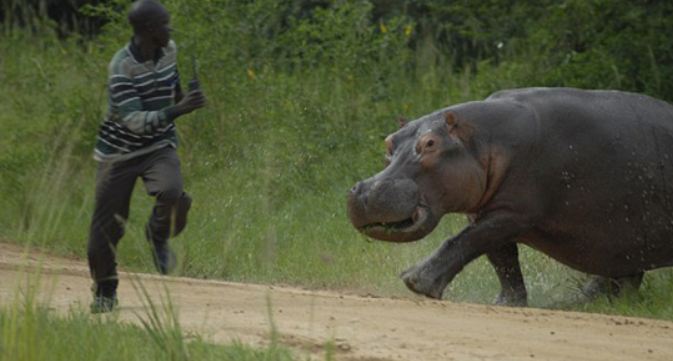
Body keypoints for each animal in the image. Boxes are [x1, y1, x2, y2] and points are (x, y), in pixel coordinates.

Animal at [350, 87, 672, 304]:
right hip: (625, 237)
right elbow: (501, 259)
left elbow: (466, 241)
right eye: (389, 142)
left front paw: (415, 282)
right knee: (623, 274)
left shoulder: (513, 213)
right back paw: (581, 300)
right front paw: (506, 303)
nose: (364, 191)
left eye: (430, 143)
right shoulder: (487, 210)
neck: (484, 139)